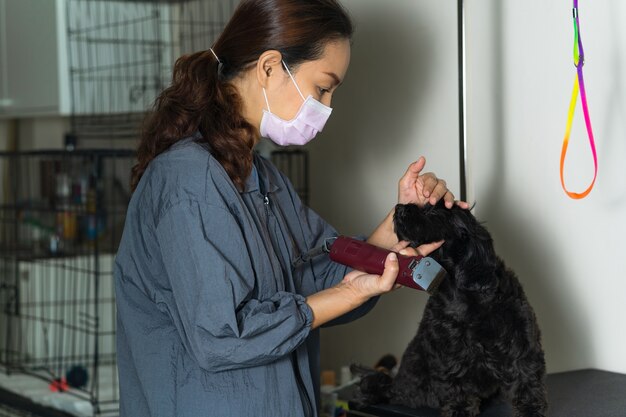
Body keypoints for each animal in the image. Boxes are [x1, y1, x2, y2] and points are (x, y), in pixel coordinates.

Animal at [356, 200, 544, 414]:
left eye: (434, 210)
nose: (399, 208)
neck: (465, 294)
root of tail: (394, 384)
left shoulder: (520, 339)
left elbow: (526, 377)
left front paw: (531, 410)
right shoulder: (449, 349)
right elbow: (456, 382)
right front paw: (459, 410)